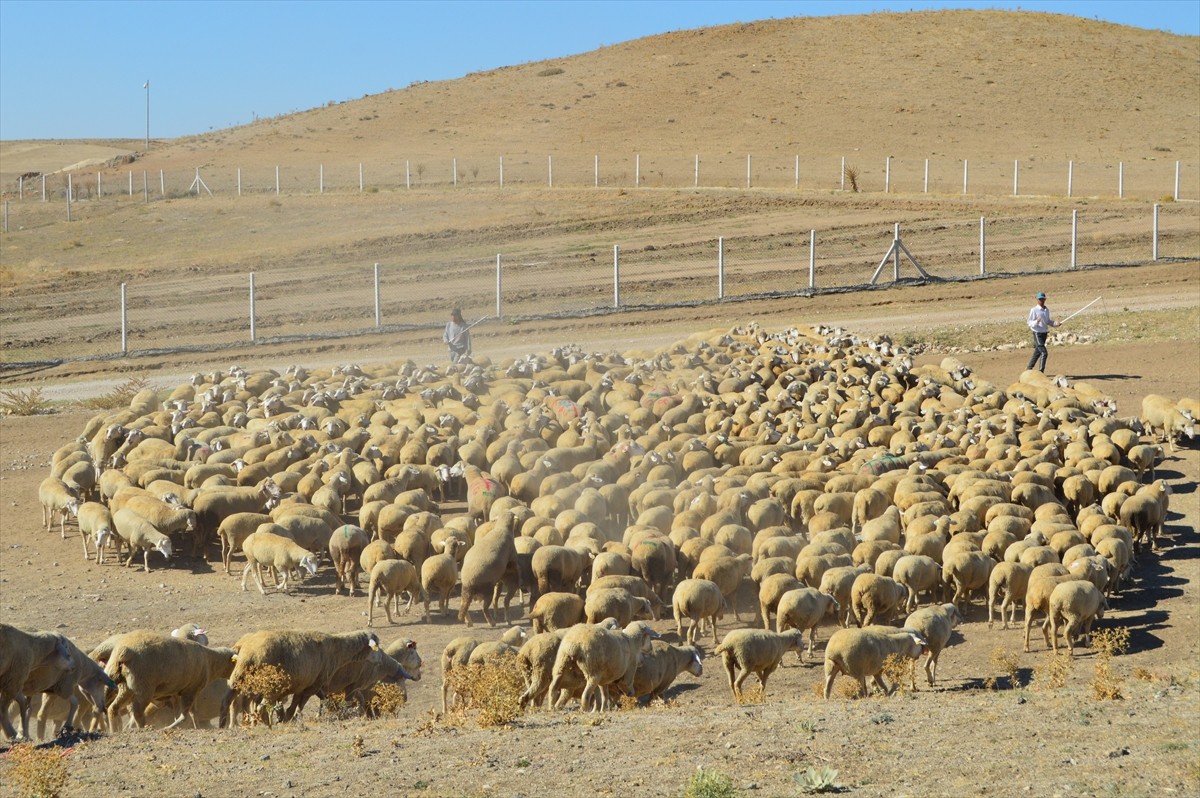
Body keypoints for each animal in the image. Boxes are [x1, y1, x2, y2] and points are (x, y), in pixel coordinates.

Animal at [106, 628, 240, 729]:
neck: (210, 661)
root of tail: (125, 651)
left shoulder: (177, 693)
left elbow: (189, 713)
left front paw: (195, 727)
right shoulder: (191, 690)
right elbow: (185, 715)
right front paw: (171, 727)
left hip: (121, 684)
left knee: (112, 708)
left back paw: (114, 730)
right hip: (142, 688)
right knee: (137, 711)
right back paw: (142, 728)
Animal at [220, 628, 379, 729]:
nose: (378, 661)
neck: (337, 649)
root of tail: (249, 651)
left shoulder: (303, 685)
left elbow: (295, 703)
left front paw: (287, 718)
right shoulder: (313, 685)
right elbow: (299, 704)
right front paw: (290, 718)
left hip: (238, 677)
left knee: (227, 700)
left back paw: (223, 725)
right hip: (270, 685)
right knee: (260, 706)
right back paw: (265, 723)